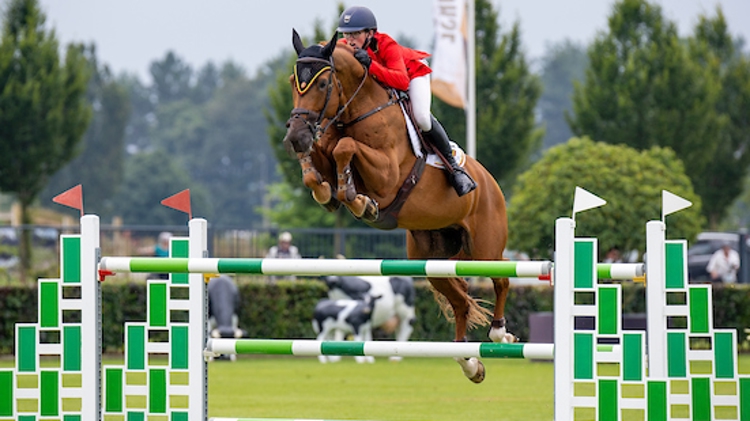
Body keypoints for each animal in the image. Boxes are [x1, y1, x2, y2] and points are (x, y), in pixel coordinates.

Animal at [284, 30, 516, 384]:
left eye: (322, 84)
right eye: (293, 82)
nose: (295, 135)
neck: (358, 110)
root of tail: (490, 183)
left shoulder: (387, 175)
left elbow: (345, 147)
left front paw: (360, 202)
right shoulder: (324, 150)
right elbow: (319, 162)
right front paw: (330, 193)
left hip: (485, 247)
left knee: (501, 279)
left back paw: (500, 333)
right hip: (430, 260)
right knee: (460, 300)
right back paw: (469, 363)